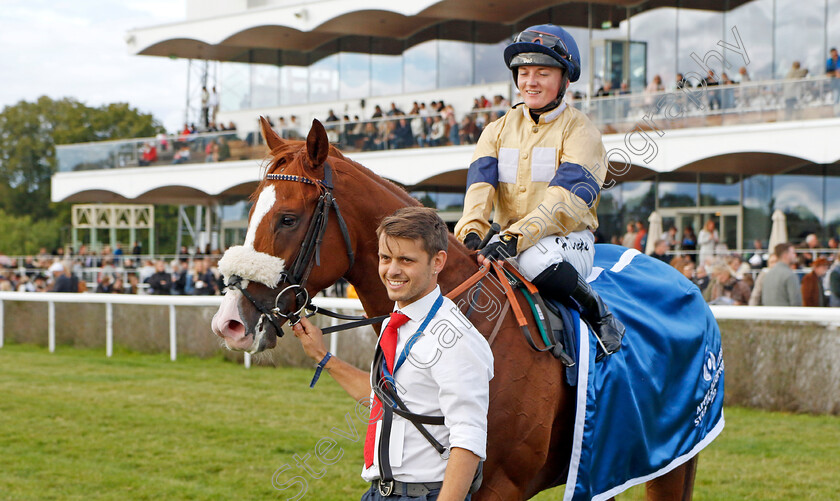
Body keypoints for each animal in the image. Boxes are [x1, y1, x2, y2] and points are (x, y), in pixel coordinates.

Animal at [213, 119, 700, 498]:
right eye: (251, 211)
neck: (468, 320)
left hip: (674, 460)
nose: (229, 322)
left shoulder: (499, 485)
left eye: (288, 218)